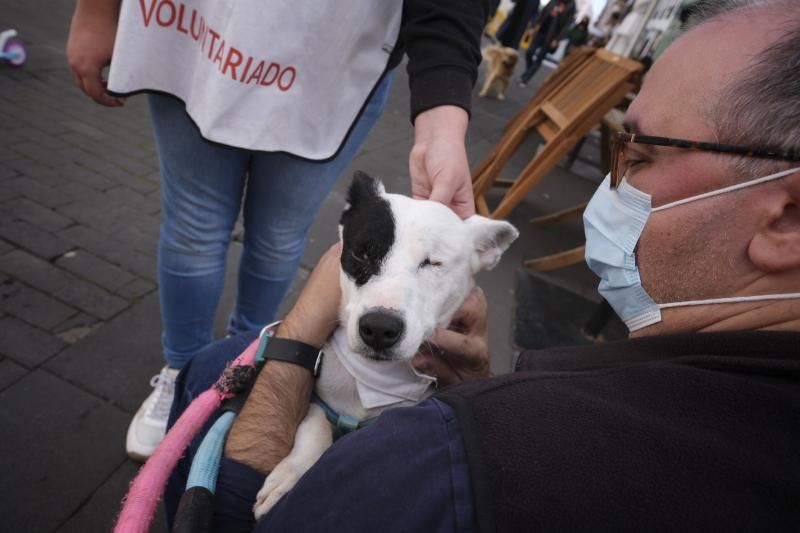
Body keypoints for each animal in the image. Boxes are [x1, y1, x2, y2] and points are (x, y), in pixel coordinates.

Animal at [256, 172, 520, 516]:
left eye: (433, 263)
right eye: (362, 253)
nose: (379, 328)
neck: (371, 382)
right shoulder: (317, 400)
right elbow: (317, 427)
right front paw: (290, 474)